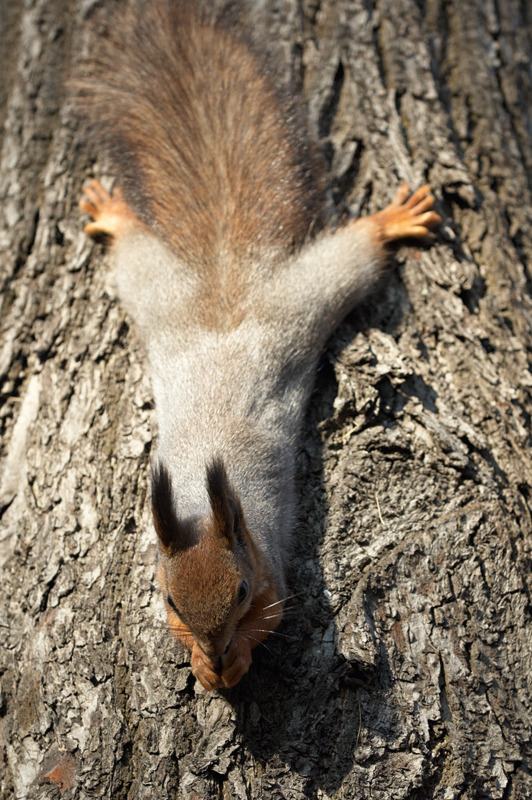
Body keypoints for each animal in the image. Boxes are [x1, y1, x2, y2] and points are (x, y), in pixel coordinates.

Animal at [75, 0, 440, 692]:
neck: (206, 509)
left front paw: (235, 661)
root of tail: (229, 294)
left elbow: (271, 623)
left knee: (349, 259)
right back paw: (115, 214)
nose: (215, 651)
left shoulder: (273, 574)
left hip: (301, 301)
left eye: (241, 591)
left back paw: (390, 221)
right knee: (137, 251)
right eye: (169, 600)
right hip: (159, 297)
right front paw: (202, 661)